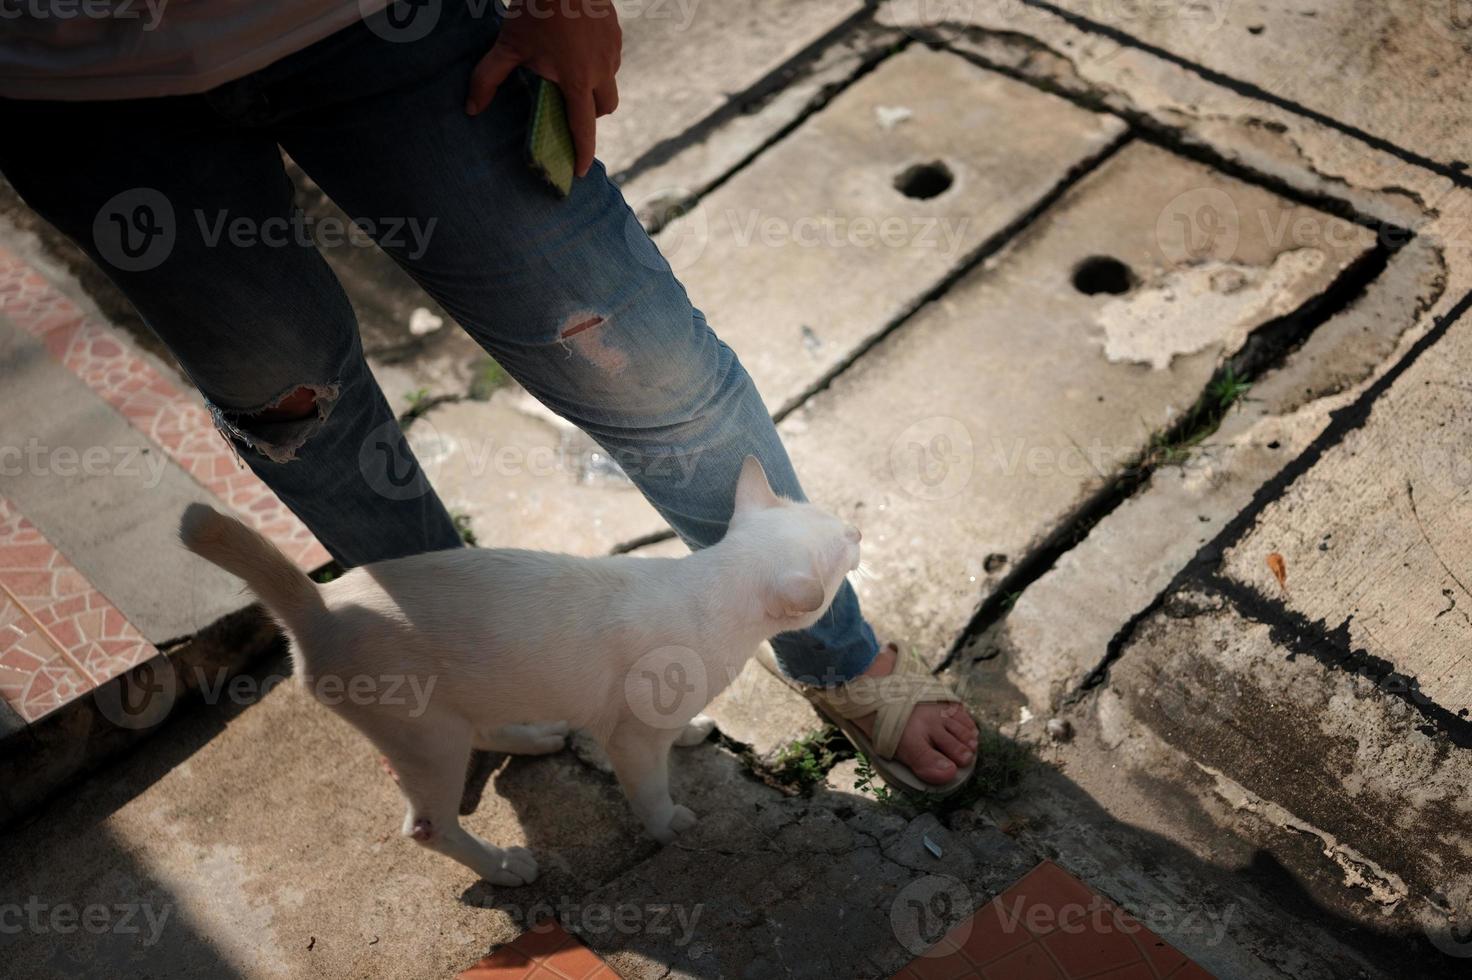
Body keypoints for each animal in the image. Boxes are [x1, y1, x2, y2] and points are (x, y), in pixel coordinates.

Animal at [181, 453, 859, 882]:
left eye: (839, 523)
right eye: (842, 545)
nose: (857, 530)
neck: (711, 583)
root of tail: (320, 604)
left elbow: (678, 732)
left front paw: (692, 730)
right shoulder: (632, 740)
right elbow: (649, 789)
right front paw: (670, 826)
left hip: (463, 705)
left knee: (484, 729)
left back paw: (534, 739)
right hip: (426, 736)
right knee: (427, 827)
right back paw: (503, 867)